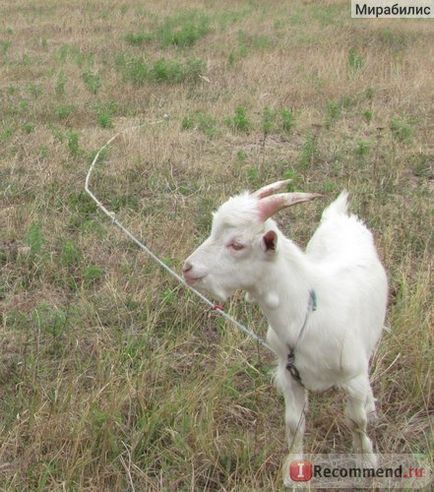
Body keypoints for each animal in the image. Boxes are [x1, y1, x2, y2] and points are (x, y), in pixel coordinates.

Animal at [181, 179, 388, 478]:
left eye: (237, 244)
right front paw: (294, 470)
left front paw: (367, 461)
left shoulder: (353, 376)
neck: (307, 316)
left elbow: (356, 420)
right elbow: (294, 424)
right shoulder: (289, 376)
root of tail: (340, 216)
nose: (188, 267)